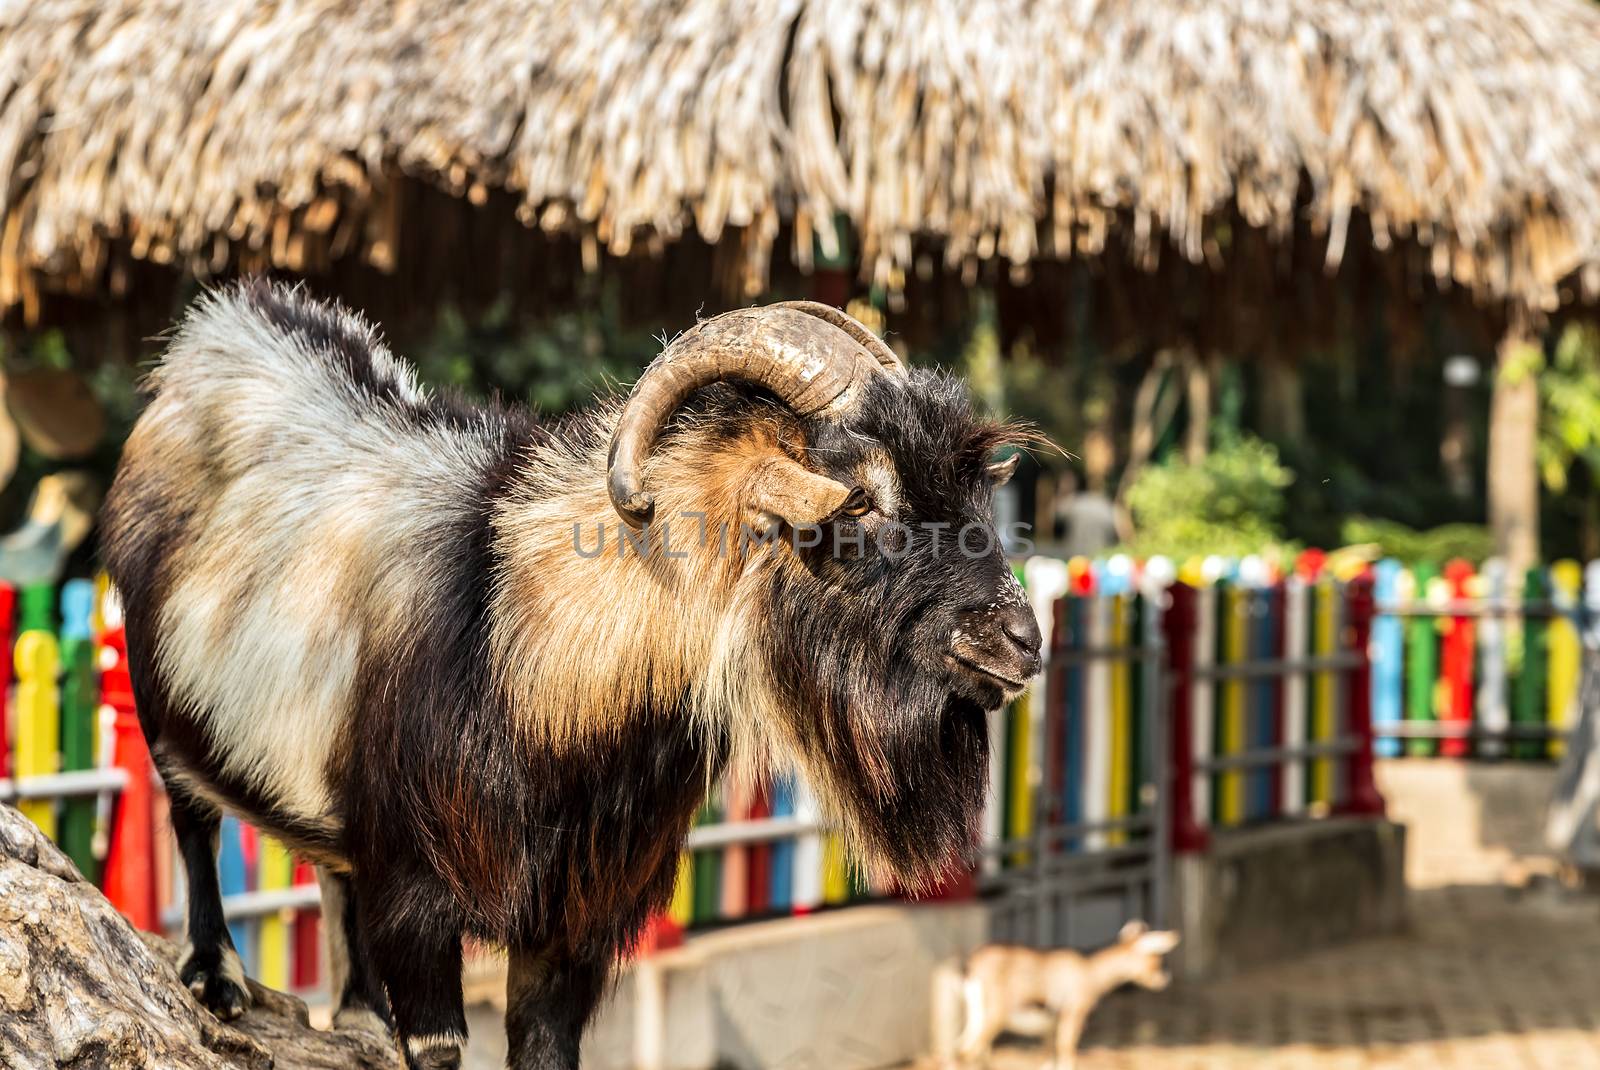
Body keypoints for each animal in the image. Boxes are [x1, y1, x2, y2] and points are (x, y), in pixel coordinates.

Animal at [934, 921, 1184, 1062]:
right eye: (1156, 957)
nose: (1165, 978)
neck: (1089, 969)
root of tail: (972, 964)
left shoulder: (1049, 1028)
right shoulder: (1073, 1014)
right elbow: (1067, 1052)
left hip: (976, 1017)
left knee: (959, 1051)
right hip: (995, 1016)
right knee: (968, 1052)